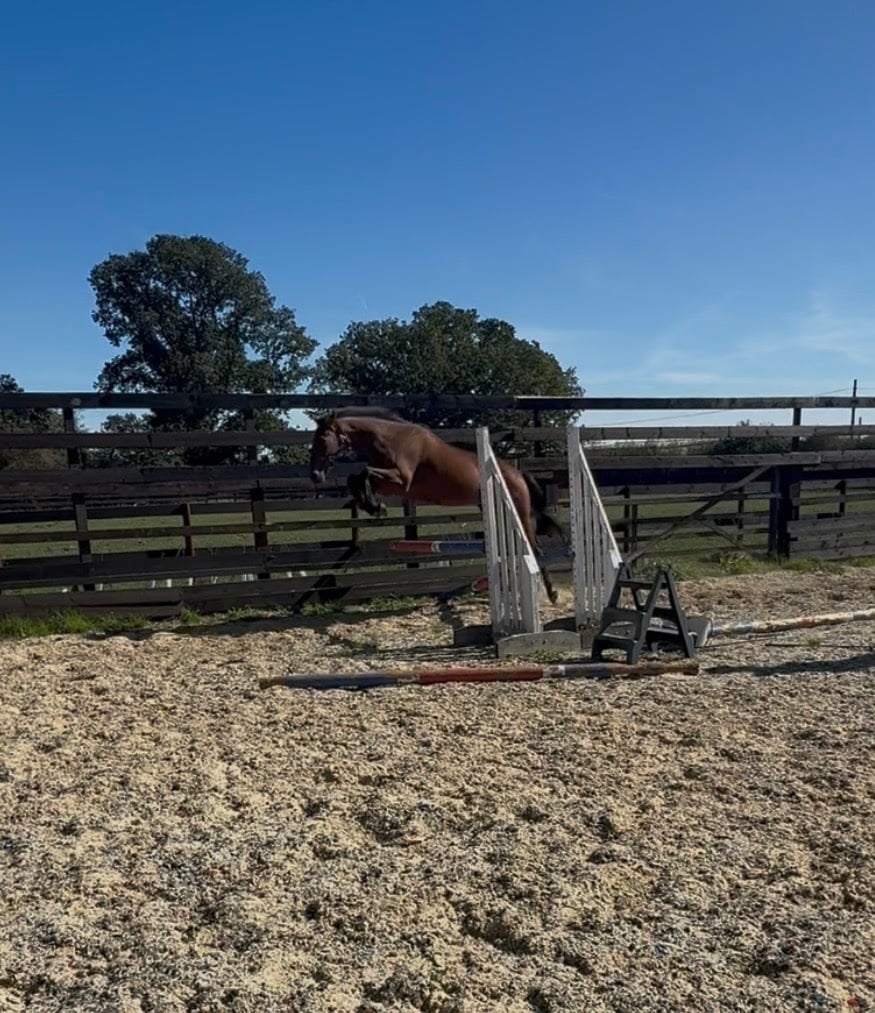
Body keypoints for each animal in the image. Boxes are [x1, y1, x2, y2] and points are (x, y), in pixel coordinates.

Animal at [308, 408, 562, 602]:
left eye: (322, 438)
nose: (315, 475)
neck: (390, 439)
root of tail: (518, 474)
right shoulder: (389, 483)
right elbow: (357, 478)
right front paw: (373, 505)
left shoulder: (401, 480)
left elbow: (364, 473)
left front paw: (375, 506)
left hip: (519, 513)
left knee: (535, 550)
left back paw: (551, 594)